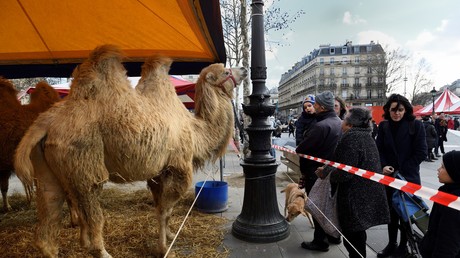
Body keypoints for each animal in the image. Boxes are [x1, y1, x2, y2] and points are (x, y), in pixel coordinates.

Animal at [14, 44, 246, 258]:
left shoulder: (158, 173)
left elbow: (162, 208)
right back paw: (101, 251)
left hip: (48, 168)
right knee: (92, 205)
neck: (196, 131)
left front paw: (170, 234)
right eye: (226, 72)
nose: (244, 69)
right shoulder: (178, 167)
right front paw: (164, 248)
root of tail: (46, 122)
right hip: (82, 159)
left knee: (49, 211)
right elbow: (164, 210)